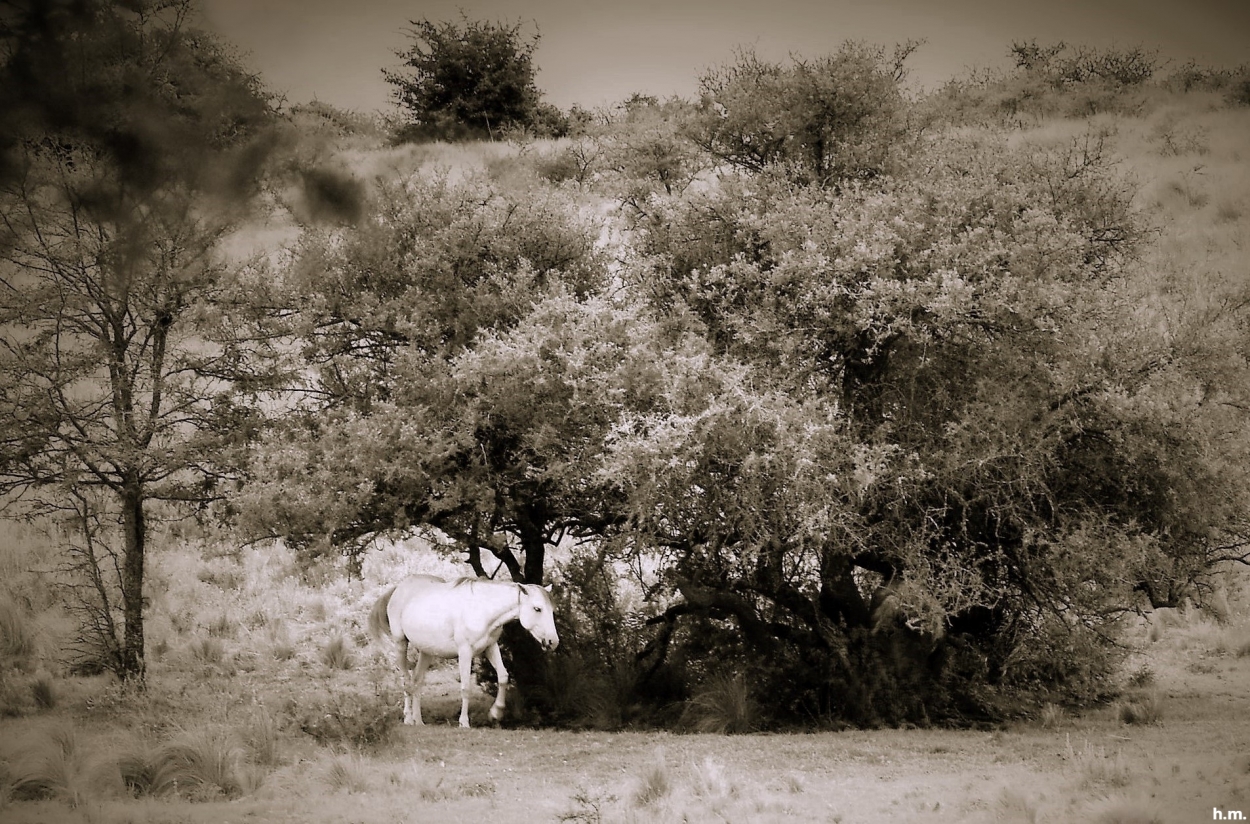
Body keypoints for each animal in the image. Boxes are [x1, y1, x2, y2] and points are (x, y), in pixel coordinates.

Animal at [365, 572, 555, 730]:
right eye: (537, 608)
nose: (553, 642)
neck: (482, 608)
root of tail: (398, 588)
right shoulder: (465, 652)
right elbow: (465, 687)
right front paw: (464, 722)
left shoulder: (490, 647)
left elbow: (503, 676)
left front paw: (496, 713)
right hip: (400, 644)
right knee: (406, 680)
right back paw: (408, 718)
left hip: (426, 652)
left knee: (417, 680)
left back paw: (419, 720)